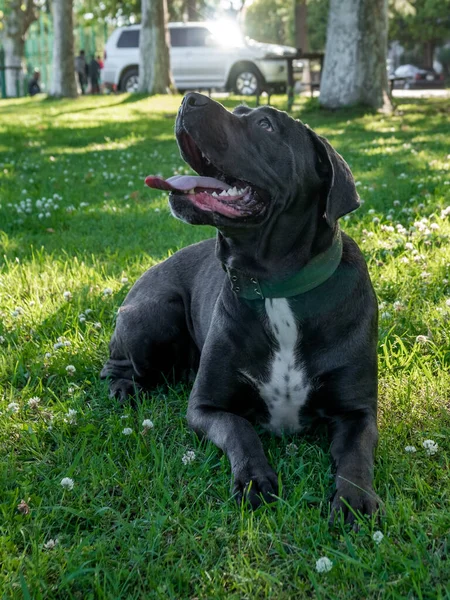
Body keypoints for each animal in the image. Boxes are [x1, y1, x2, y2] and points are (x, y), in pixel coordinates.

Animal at [102, 92, 380, 524]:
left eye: (265, 125)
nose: (189, 98)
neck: (274, 286)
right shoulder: (206, 407)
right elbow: (241, 432)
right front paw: (254, 479)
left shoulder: (358, 411)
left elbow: (355, 454)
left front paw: (354, 499)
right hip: (153, 314)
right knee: (119, 364)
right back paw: (123, 386)